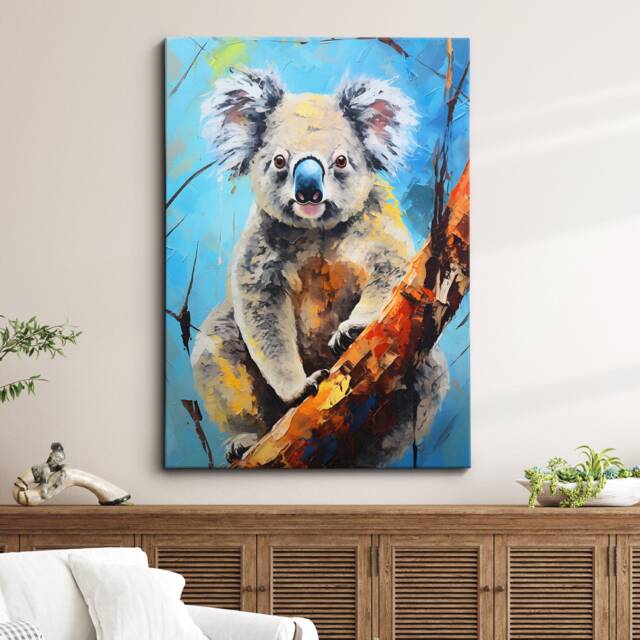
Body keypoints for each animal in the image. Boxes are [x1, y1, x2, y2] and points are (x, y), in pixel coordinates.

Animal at [190, 67, 449, 466]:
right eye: (280, 161)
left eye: (340, 161)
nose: (308, 191)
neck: (317, 232)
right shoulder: (259, 254)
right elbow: (264, 322)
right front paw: (302, 387)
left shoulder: (378, 225)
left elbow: (389, 277)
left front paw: (351, 331)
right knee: (218, 348)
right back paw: (244, 441)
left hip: (421, 377)